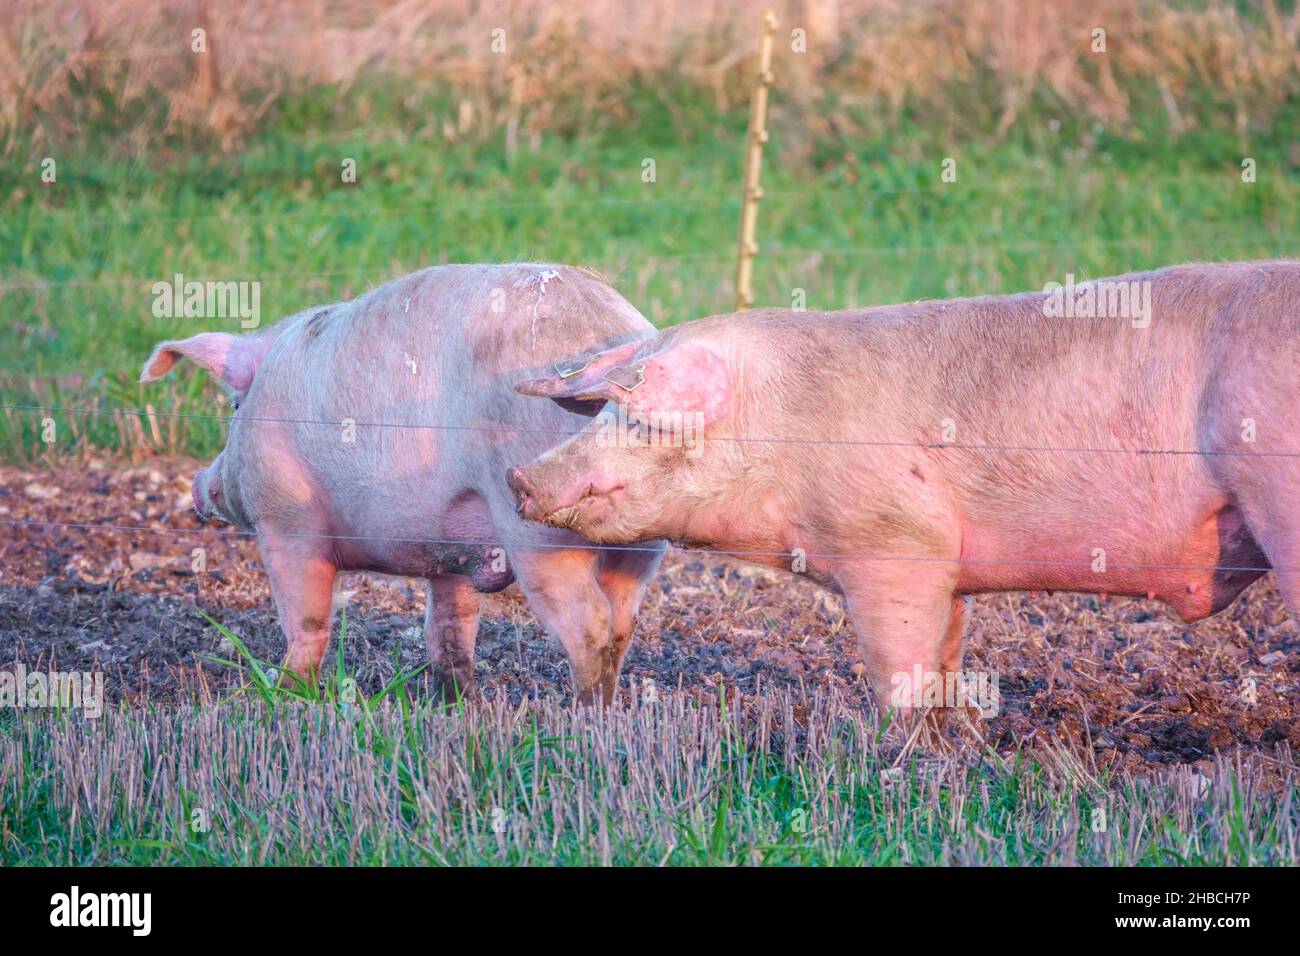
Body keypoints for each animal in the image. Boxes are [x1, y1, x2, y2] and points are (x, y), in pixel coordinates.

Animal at [146, 261, 665, 702]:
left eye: (234, 407)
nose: (199, 486)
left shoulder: (285, 519)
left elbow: (306, 618)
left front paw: (289, 694)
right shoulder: (455, 550)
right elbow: (450, 625)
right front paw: (454, 702)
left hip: (539, 526)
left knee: (590, 623)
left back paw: (584, 714)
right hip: (639, 541)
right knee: (622, 619)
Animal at [504, 260, 1300, 712]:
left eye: (643, 419)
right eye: (605, 410)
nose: (522, 477)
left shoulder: (895, 544)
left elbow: (899, 665)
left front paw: (899, 753)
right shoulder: (947, 566)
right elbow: (945, 656)